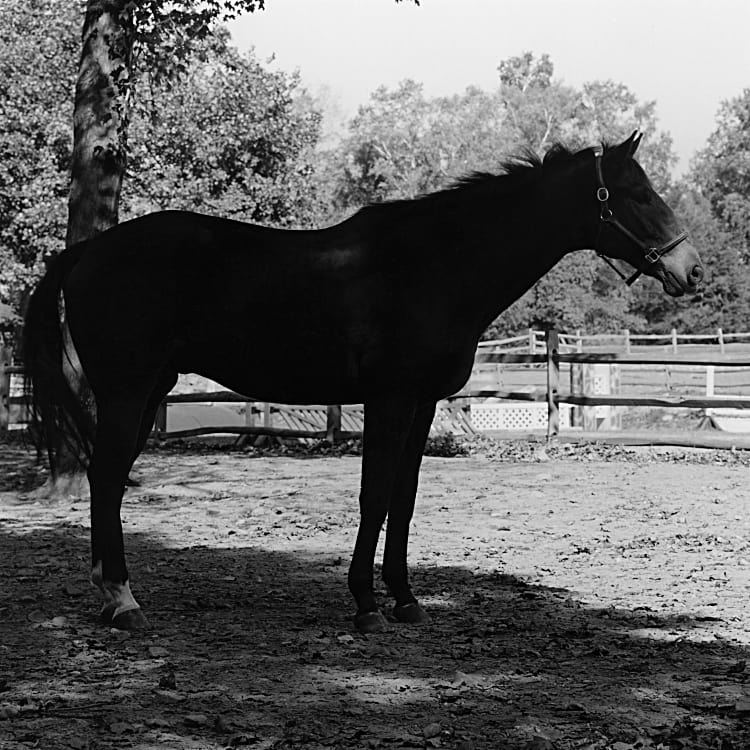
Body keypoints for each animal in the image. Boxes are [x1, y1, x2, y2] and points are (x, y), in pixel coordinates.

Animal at [23, 131, 704, 633]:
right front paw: (365, 603)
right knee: (107, 477)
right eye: (635, 192)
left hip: (147, 393)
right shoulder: (390, 400)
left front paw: (405, 598)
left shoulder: (423, 404)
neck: (436, 265)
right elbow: (374, 496)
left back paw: (109, 592)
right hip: (127, 392)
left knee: (107, 480)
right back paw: (123, 601)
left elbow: (403, 500)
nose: (690, 269)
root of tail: (85, 253)